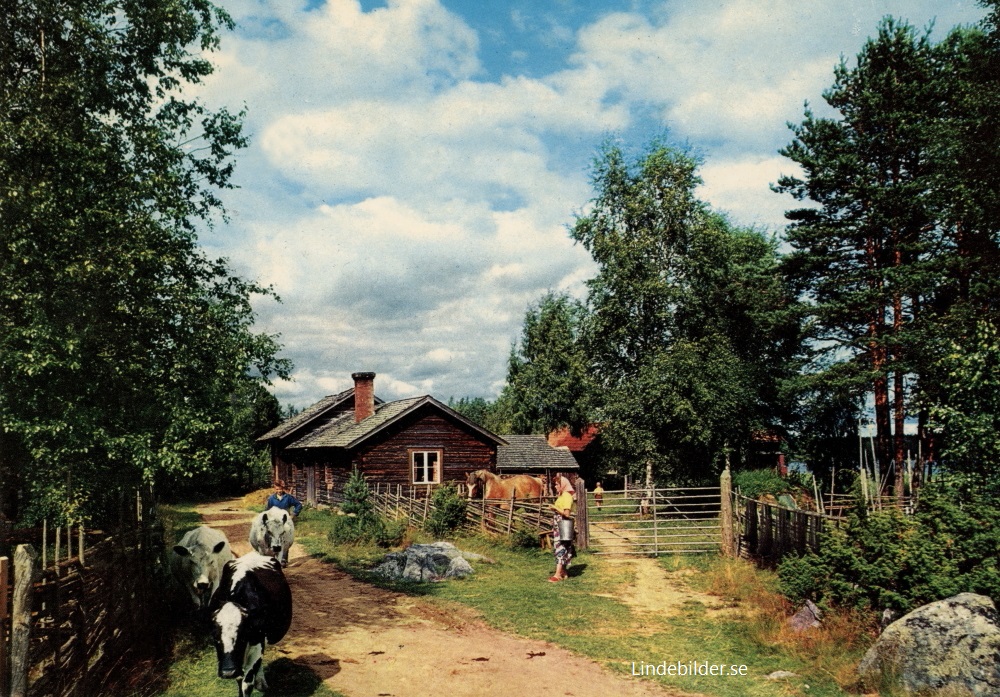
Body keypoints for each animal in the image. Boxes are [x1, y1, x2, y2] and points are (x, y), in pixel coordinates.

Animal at [209, 552, 292, 692]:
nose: (228, 672)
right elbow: (240, 678)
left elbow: (247, 682)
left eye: (242, 636)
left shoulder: (257, 640)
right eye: (215, 638)